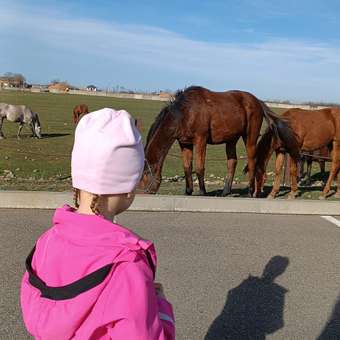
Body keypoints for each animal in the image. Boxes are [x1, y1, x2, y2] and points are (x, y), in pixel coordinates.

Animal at [139, 85, 298, 197]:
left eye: (144, 174)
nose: (143, 192)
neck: (186, 112)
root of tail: (257, 101)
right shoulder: (185, 144)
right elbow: (187, 167)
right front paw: (188, 191)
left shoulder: (200, 139)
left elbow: (199, 167)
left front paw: (202, 192)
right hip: (231, 140)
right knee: (232, 162)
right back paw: (226, 191)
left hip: (249, 137)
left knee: (252, 160)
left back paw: (251, 191)